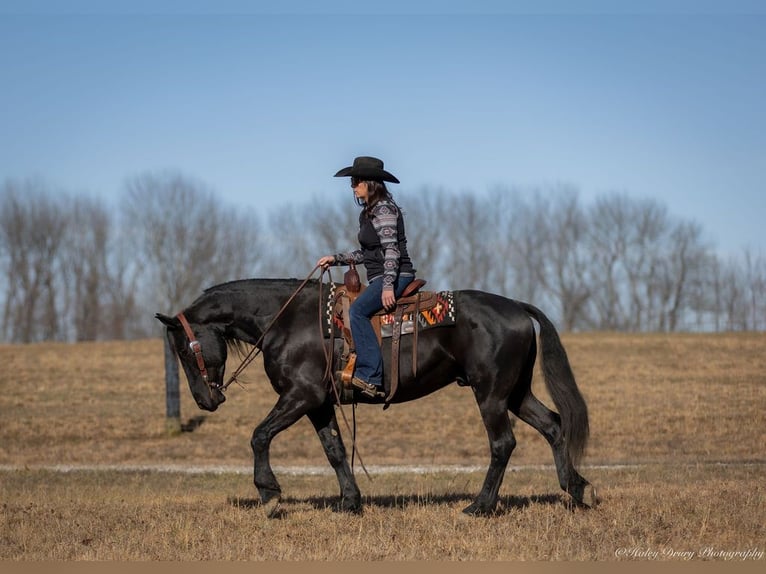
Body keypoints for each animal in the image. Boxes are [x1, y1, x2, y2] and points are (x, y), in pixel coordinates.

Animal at [158, 280, 600, 516]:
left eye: (185, 349)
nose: (205, 401)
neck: (287, 320)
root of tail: (517, 308)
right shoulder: (319, 403)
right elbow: (335, 451)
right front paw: (350, 502)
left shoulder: (301, 395)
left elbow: (260, 435)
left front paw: (268, 494)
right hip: (515, 393)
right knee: (553, 426)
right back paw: (576, 490)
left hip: (490, 394)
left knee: (502, 444)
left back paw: (481, 505)